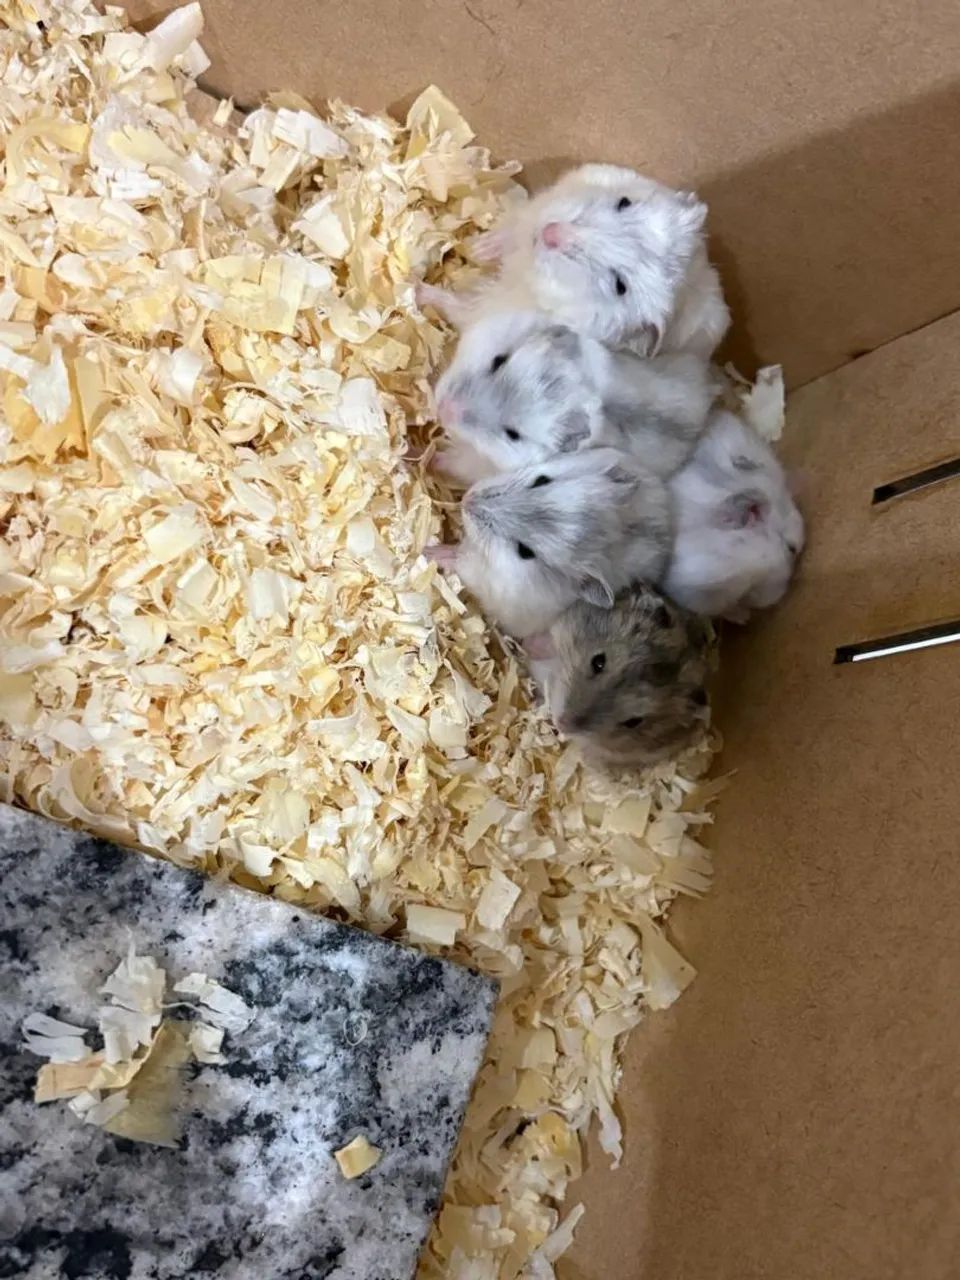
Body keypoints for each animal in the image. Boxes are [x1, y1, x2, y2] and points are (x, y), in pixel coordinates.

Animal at [419, 163, 729, 356]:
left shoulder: (488, 310)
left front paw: (416, 291)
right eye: (624, 202)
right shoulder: (540, 207)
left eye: (620, 285)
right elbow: (515, 231)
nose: (550, 232)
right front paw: (478, 248)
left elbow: (456, 304)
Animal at [425, 448, 672, 639]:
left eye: (525, 551)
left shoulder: (494, 585)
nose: (467, 500)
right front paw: (433, 457)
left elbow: (463, 562)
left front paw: (431, 552)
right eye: (541, 480)